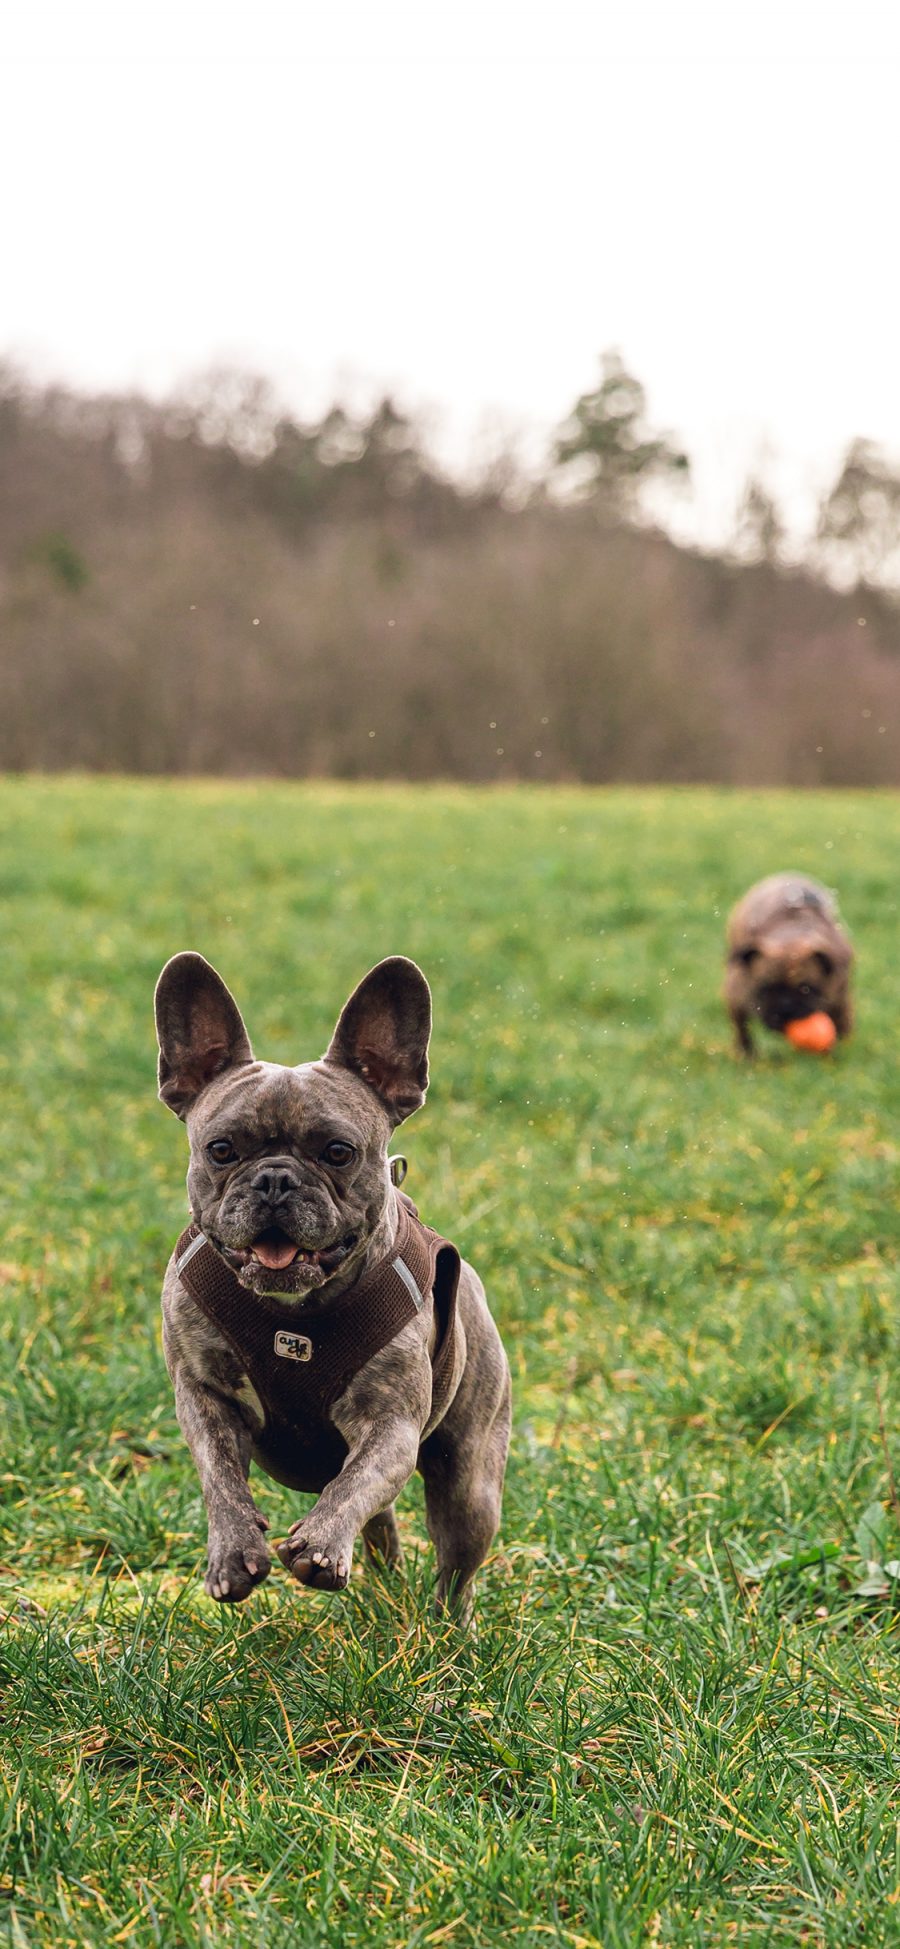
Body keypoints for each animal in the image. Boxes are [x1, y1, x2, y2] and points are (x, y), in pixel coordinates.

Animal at [724, 877, 849, 1060]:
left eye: (806, 989)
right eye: (765, 989)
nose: (785, 1007)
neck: (790, 936)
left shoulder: (840, 997)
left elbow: (842, 1023)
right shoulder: (736, 996)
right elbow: (742, 1028)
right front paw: (747, 1055)